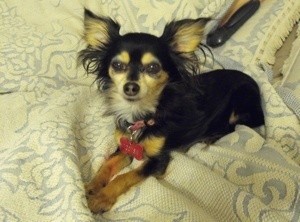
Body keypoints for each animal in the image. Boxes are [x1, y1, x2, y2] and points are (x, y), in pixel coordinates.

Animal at [78, 9, 264, 213]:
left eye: (153, 67)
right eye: (118, 66)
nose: (131, 87)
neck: (144, 114)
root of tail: (253, 81)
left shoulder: (158, 160)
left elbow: (125, 176)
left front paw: (101, 198)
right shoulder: (125, 147)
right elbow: (107, 165)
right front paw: (91, 187)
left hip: (241, 107)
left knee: (232, 127)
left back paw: (209, 138)